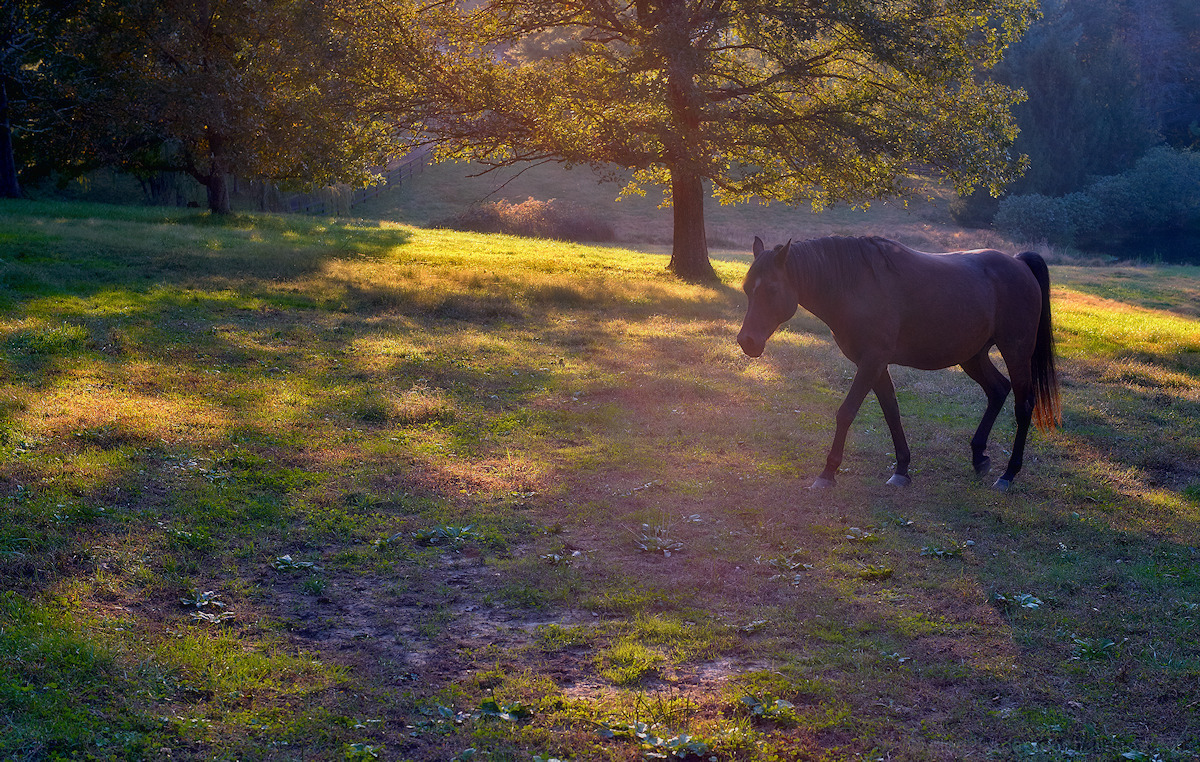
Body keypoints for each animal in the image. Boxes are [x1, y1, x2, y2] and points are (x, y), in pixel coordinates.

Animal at [729, 235, 1060, 492]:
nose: (747, 341)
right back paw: (979, 457)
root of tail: (1018, 263)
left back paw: (1008, 474)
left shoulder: (872, 361)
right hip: (973, 356)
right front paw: (901, 470)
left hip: (1015, 352)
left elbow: (846, 413)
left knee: (1023, 405)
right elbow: (891, 412)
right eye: (747, 288)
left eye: (772, 289)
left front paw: (827, 473)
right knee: (997, 390)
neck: (855, 285)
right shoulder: (875, 365)